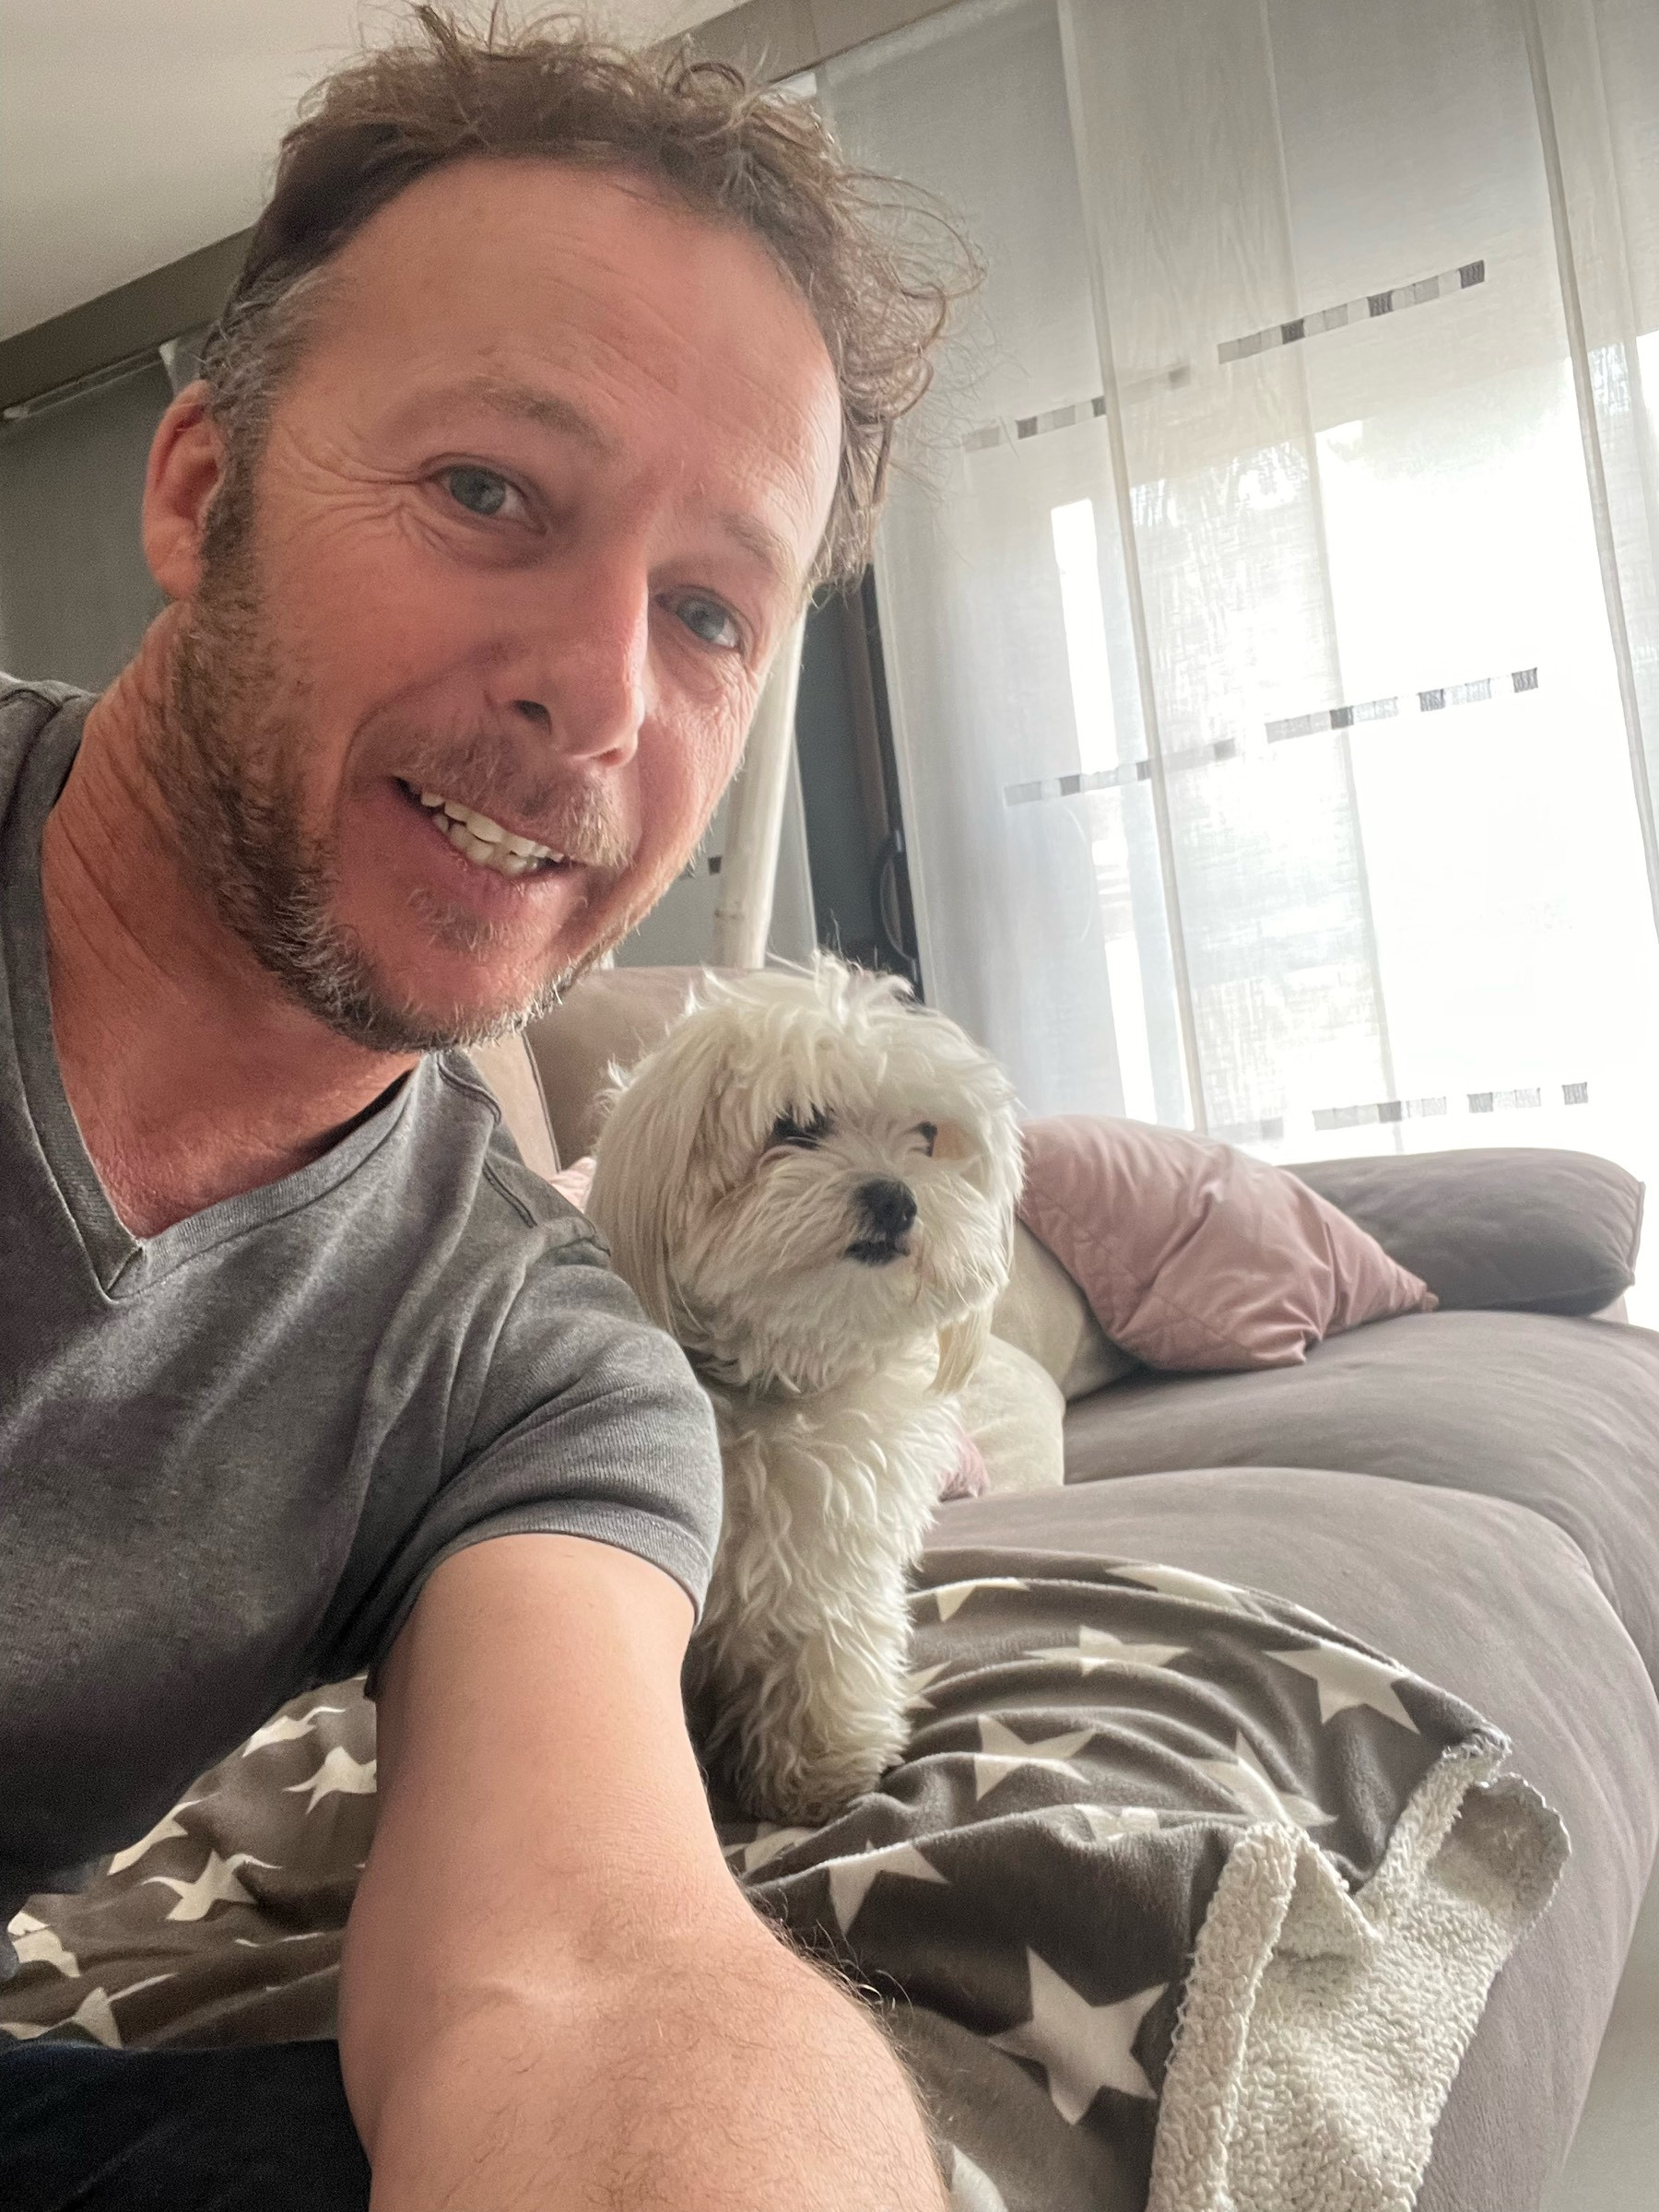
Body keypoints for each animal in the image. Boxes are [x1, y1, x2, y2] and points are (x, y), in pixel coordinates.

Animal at [585, 957, 1022, 1825]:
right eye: (796, 1126)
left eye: (929, 1137)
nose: (895, 1195)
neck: (771, 1387)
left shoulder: (831, 1561)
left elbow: (825, 1649)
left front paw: (822, 1772)